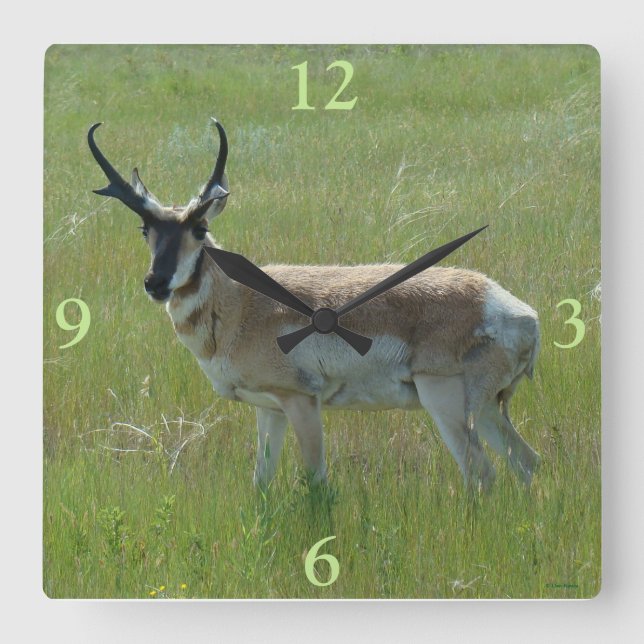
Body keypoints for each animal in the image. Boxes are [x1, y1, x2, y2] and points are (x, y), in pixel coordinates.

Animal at [88, 119, 541, 492]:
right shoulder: (269, 409)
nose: (155, 283)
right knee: (526, 461)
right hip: (487, 409)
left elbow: (317, 481)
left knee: (481, 472)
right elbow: (261, 483)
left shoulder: (301, 402)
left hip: (445, 402)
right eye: (145, 228)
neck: (241, 305)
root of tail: (520, 313)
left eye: (200, 228)